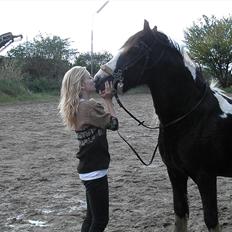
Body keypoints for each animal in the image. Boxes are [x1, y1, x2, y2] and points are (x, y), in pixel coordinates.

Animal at [94, 20, 232, 232]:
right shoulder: (175, 173)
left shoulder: (206, 177)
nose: (98, 79)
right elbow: (180, 213)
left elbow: (211, 219)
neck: (192, 117)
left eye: (137, 47)